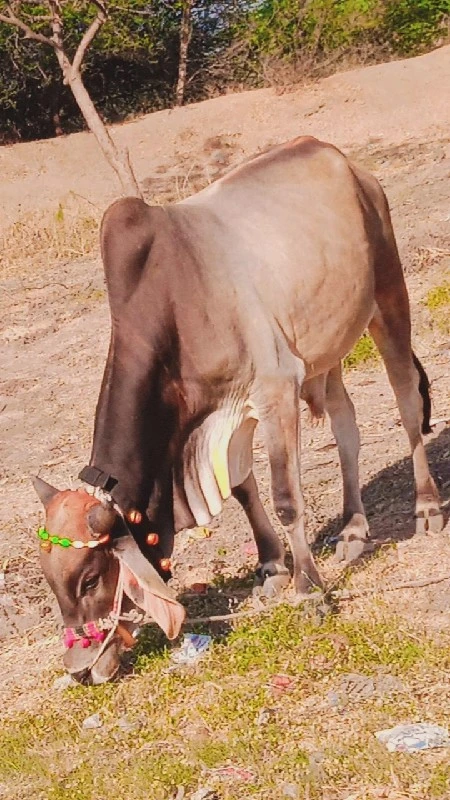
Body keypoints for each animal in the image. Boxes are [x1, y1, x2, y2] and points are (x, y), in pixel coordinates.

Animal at [33, 136, 442, 680]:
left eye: (91, 578)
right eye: (51, 581)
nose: (80, 669)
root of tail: (342, 159)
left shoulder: (275, 389)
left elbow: (286, 498)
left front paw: (309, 590)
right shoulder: (225, 414)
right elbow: (245, 487)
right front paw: (271, 567)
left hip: (389, 297)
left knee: (408, 403)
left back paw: (426, 506)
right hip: (326, 348)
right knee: (346, 425)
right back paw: (354, 529)